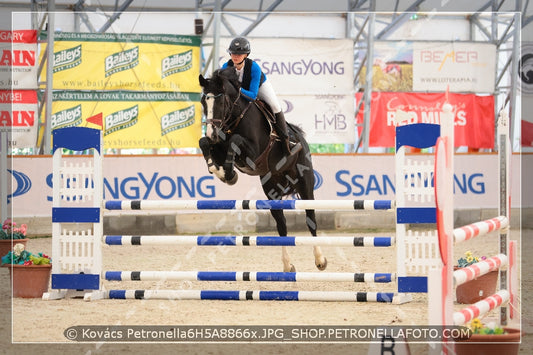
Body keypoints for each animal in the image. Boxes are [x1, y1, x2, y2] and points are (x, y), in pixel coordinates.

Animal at [197, 67, 326, 272]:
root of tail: (302, 141)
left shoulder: (254, 153)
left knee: (310, 217)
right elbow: (204, 143)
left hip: (305, 183)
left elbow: (235, 141)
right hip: (272, 189)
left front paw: (229, 174)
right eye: (203, 101)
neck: (234, 119)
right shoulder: (218, 147)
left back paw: (320, 260)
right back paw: (287, 265)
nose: (212, 133)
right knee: (281, 224)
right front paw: (220, 171)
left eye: (221, 101)